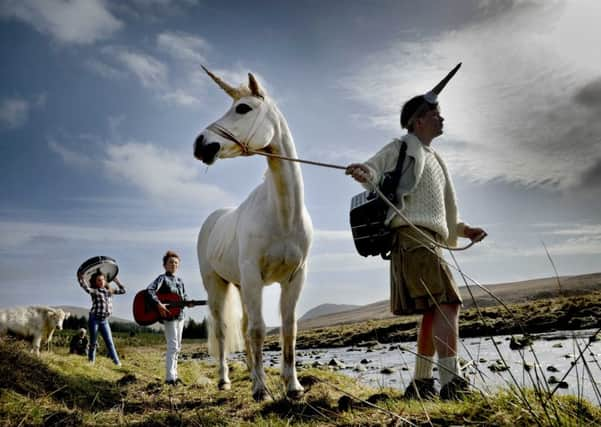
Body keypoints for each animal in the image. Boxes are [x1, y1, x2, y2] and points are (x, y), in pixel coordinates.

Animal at [195, 67, 312, 402]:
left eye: (243, 108)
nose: (200, 144)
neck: (283, 215)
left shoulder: (294, 277)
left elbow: (288, 329)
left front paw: (293, 386)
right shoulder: (252, 276)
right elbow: (258, 329)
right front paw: (261, 390)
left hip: (241, 285)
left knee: (246, 325)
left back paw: (249, 372)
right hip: (217, 286)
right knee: (223, 330)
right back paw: (224, 379)